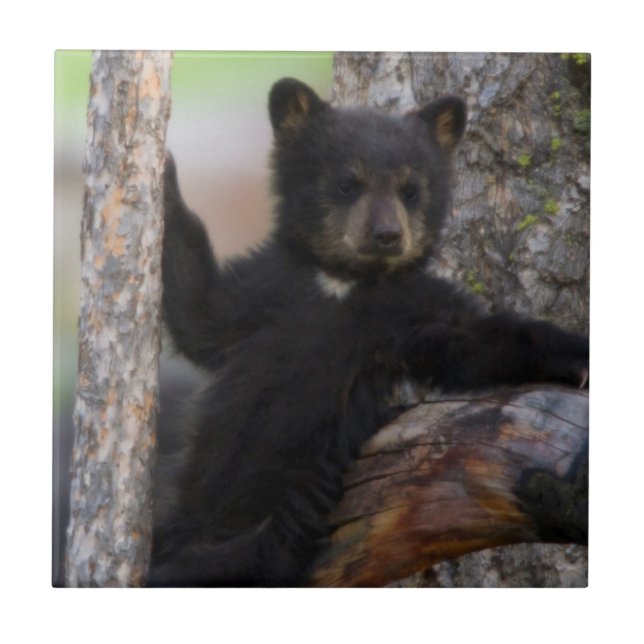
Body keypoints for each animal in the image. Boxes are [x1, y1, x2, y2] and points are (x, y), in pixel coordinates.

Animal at [148, 77, 588, 586]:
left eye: (410, 189)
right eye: (347, 184)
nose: (387, 235)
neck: (343, 284)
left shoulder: (408, 311)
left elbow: (475, 341)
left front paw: (576, 357)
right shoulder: (267, 290)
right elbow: (200, 313)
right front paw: (163, 175)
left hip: (274, 527)